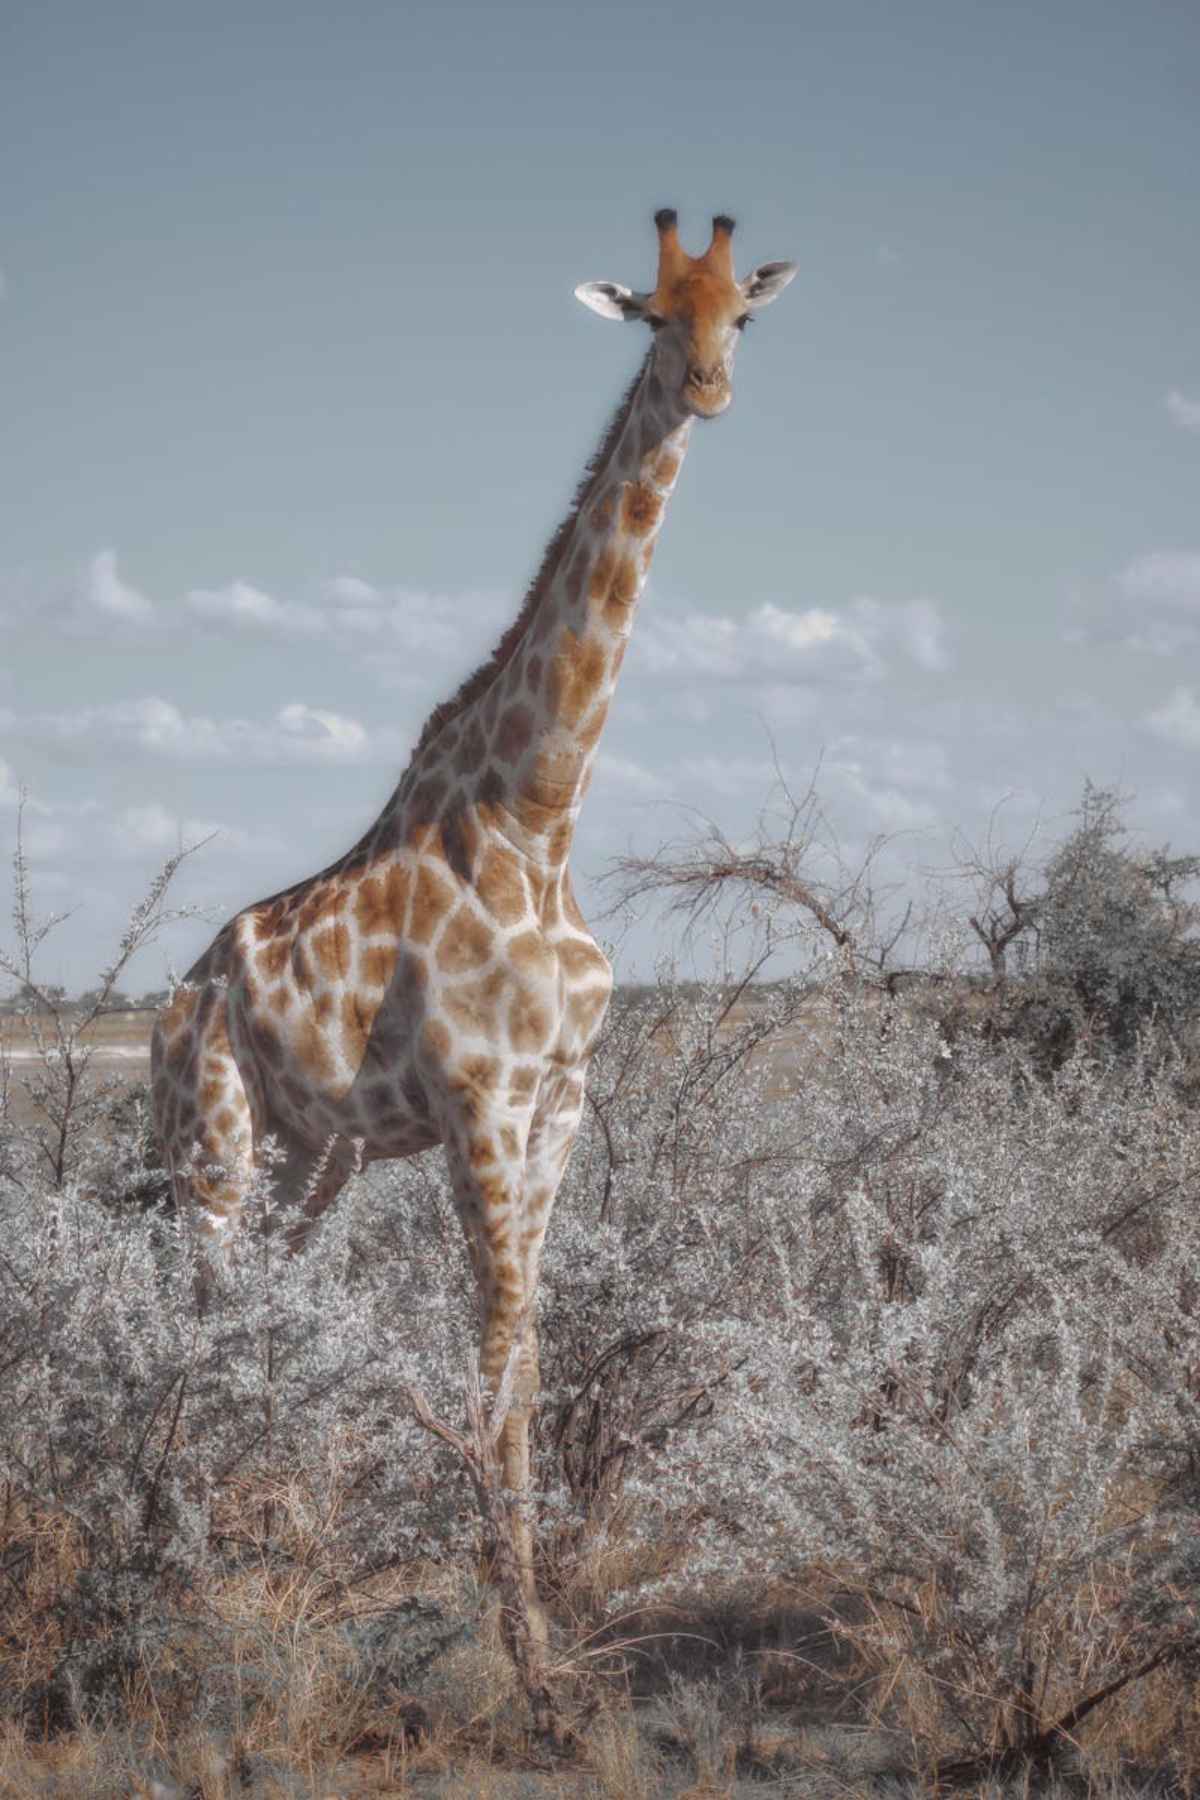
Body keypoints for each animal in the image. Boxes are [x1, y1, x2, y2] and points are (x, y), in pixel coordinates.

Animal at [151, 208, 796, 1649]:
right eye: (654, 317)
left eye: (742, 313)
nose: (711, 390)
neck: (537, 818)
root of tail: (171, 1006)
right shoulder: (479, 1105)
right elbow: (494, 1356)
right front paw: (528, 1648)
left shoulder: (557, 1102)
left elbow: (531, 1354)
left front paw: (534, 1617)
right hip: (209, 1140)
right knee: (188, 1312)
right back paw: (177, 1548)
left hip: (309, 1159)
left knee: (263, 1301)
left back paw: (250, 1531)